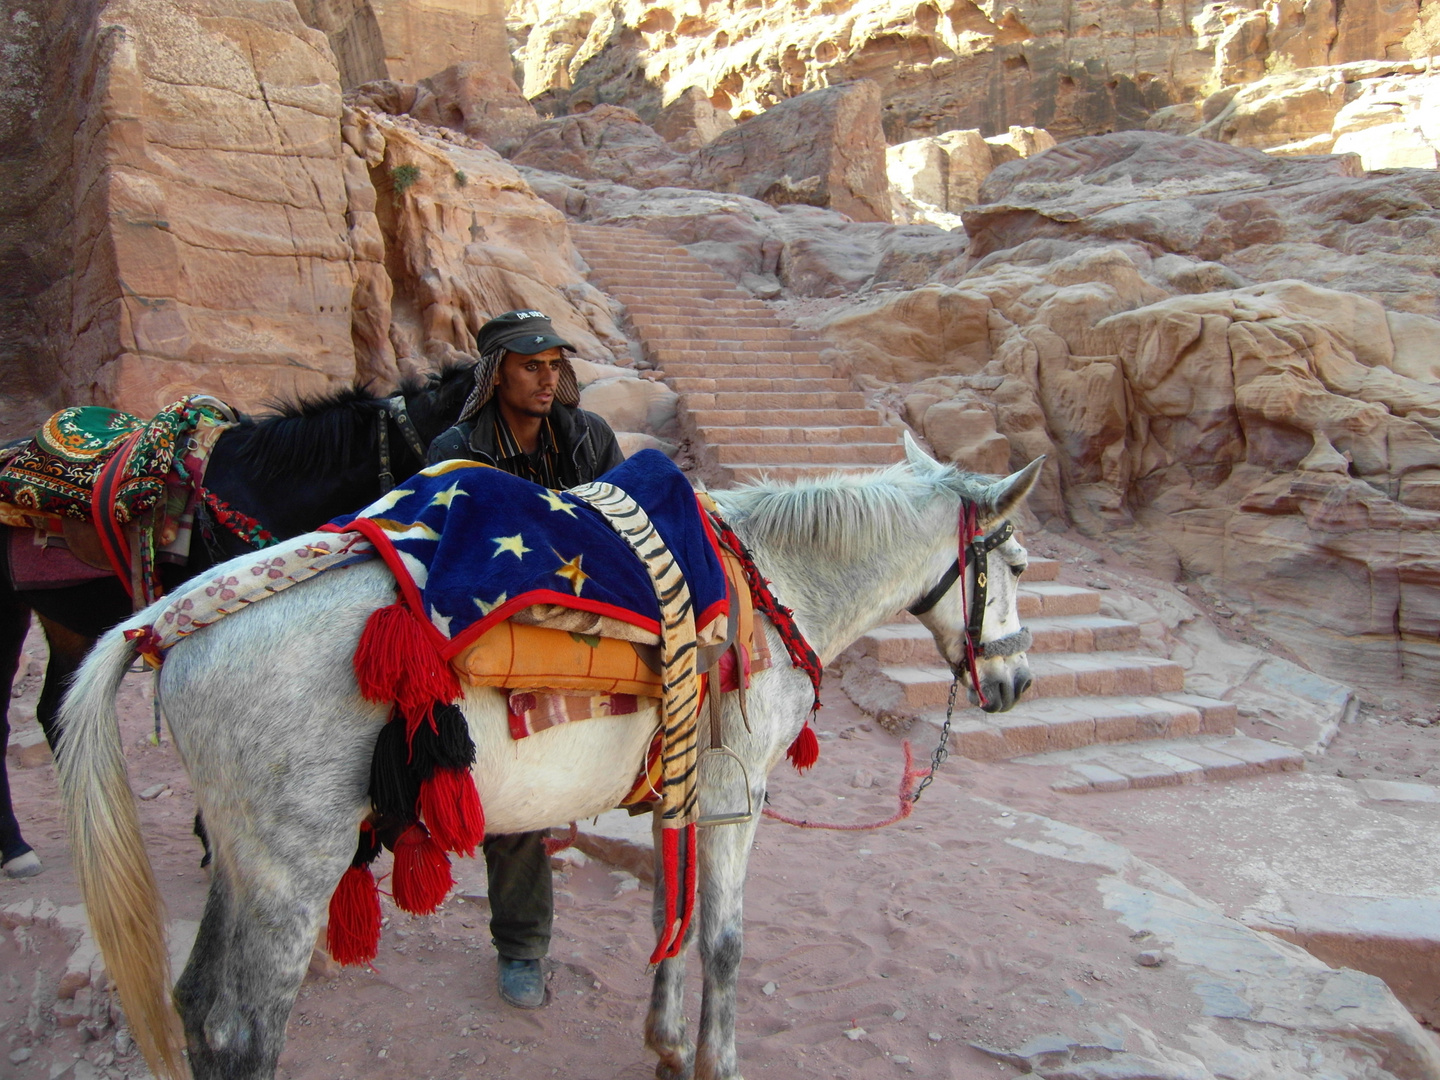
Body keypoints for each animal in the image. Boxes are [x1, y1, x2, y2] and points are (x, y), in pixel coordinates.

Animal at [59, 434, 1048, 1077]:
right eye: (1019, 566)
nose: (1017, 681)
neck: (772, 583)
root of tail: (169, 622)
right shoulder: (738, 796)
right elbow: (723, 941)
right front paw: (713, 1061)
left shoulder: (680, 791)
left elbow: (668, 910)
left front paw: (665, 1044)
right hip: (293, 872)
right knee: (241, 1036)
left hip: (242, 860)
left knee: (193, 1007)